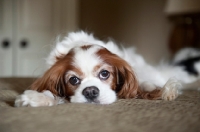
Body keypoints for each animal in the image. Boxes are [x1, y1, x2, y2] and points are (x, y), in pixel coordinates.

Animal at [14, 31, 200, 107]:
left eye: (104, 74)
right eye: (73, 80)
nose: (90, 91)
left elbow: (145, 86)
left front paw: (164, 90)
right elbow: (51, 92)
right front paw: (37, 98)